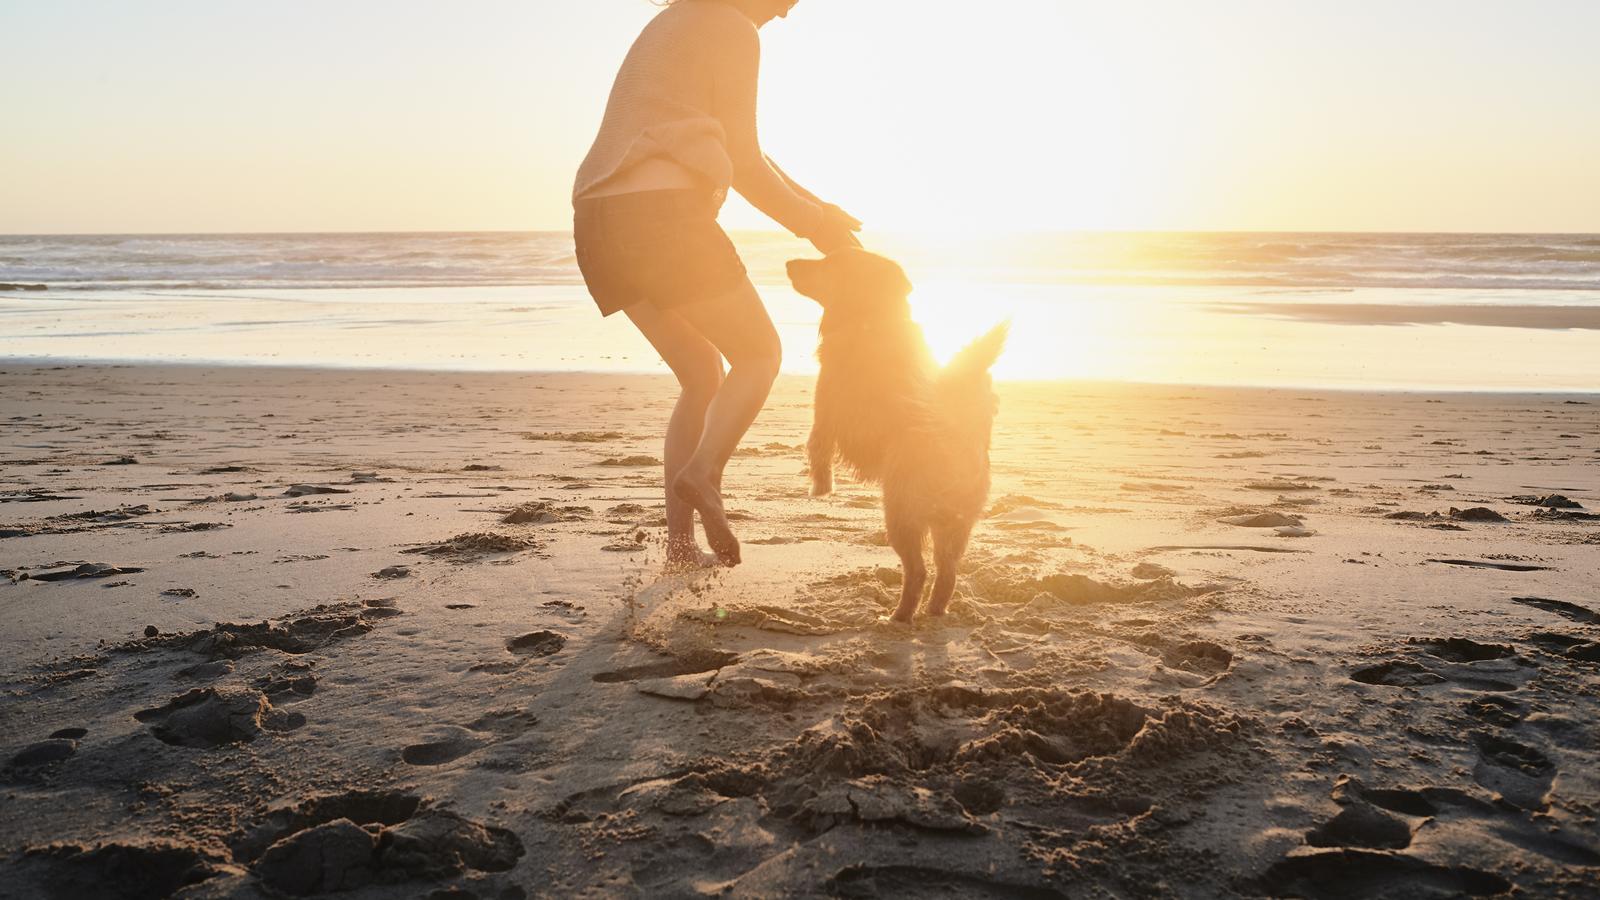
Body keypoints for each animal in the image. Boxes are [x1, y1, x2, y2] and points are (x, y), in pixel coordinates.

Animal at [784, 248, 1004, 621]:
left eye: (830, 261)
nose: (788, 263)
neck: (871, 316)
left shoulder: (826, 405)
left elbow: (818, 446)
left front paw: (820, 487)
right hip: (954, 525)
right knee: (947, 573)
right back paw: (933, 612)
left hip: (901, 514)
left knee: (918, 571)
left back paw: (897, 616)